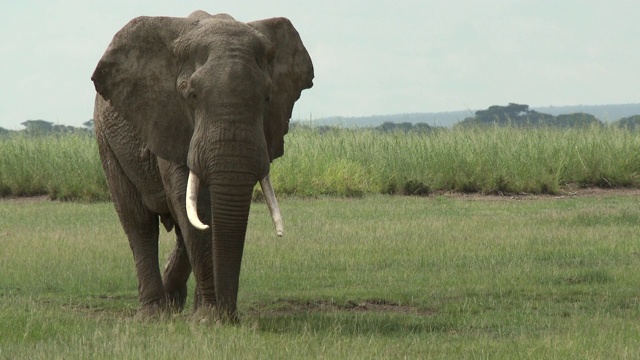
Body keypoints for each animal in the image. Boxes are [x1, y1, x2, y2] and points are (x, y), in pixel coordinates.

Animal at [92, 9, 316, 322]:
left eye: (268, 97)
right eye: (192, 96)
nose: (230, 317)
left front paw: (207, 318)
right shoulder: (169, 118)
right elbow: (191, 205)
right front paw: (208, 320)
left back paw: (173, 302)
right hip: (106, 140)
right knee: (138, 222)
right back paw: (154, 315)